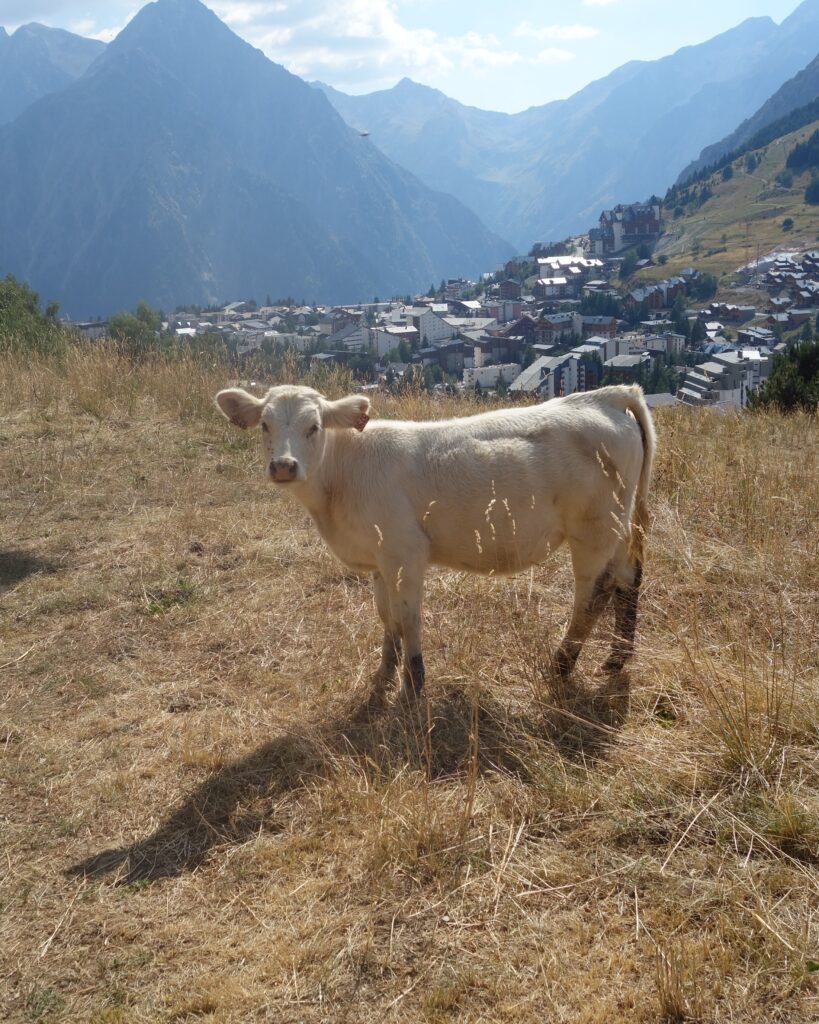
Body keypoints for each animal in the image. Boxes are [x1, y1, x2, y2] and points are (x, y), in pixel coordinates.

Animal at [215, 384, 656, 702]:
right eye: (265, 425)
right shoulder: (380, 558)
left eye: (314, 426)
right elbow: (386, 616)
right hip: (620, 526)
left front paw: (413, 685)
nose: (283, 466)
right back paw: (617, 660)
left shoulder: (405, 552)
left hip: (593, 529)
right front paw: (385, 671)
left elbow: (408, 617)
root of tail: (608, 395)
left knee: (594, 593)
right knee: (628, 579)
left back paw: (561, 666)